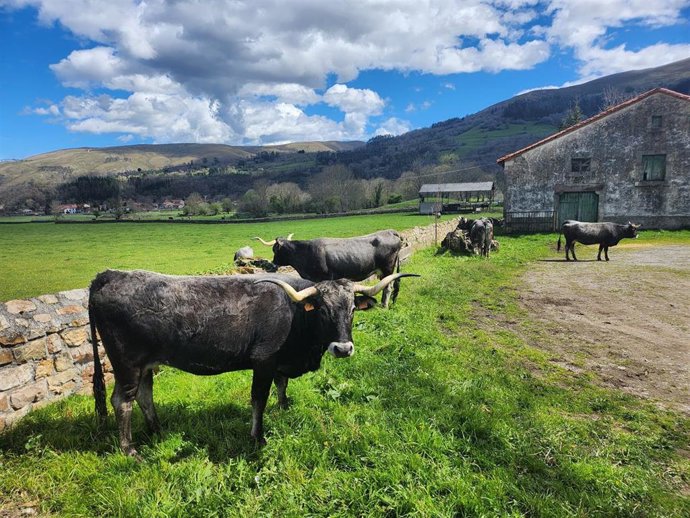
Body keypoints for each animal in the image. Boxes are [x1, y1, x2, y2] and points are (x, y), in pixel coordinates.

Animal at [88, 269, 417, 457]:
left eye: (352, 309)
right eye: (322, 309)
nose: (343, 348)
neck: (295, 313)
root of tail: (110, 275)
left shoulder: (281, 363)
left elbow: (282, 386)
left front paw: (284, 407)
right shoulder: (264, 361)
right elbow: (259, 399)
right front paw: (258, 438)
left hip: (146, 364)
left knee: (145, 396)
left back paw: (158, 431)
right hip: (127, 364)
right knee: (123, 401)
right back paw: (130, 450)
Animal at [253, 230, 404, 307]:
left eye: (275, 249)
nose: (272, 264)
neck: (306, 252)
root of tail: (391, 232)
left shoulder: (324, 277)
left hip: (387, 269)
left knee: (388, 288)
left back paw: (384, 306)